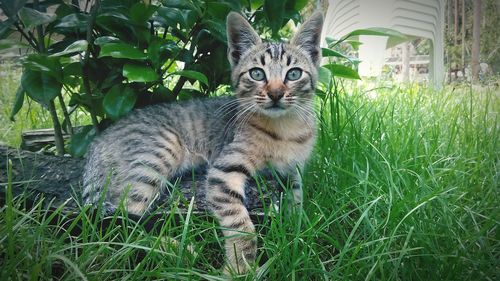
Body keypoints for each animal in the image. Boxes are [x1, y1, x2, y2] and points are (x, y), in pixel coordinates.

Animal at [83, 12, 324, 272]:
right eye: (257, 73)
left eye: (294, 73)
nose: (276, 94)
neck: (286, 128)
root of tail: (97, 142)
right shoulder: (224, 169)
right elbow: (240, 224)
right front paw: (239, 267)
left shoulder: (293, 171)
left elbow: (298, 200)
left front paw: (295, 231)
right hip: (158, 152)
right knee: (119, 221)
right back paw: (174, 250)